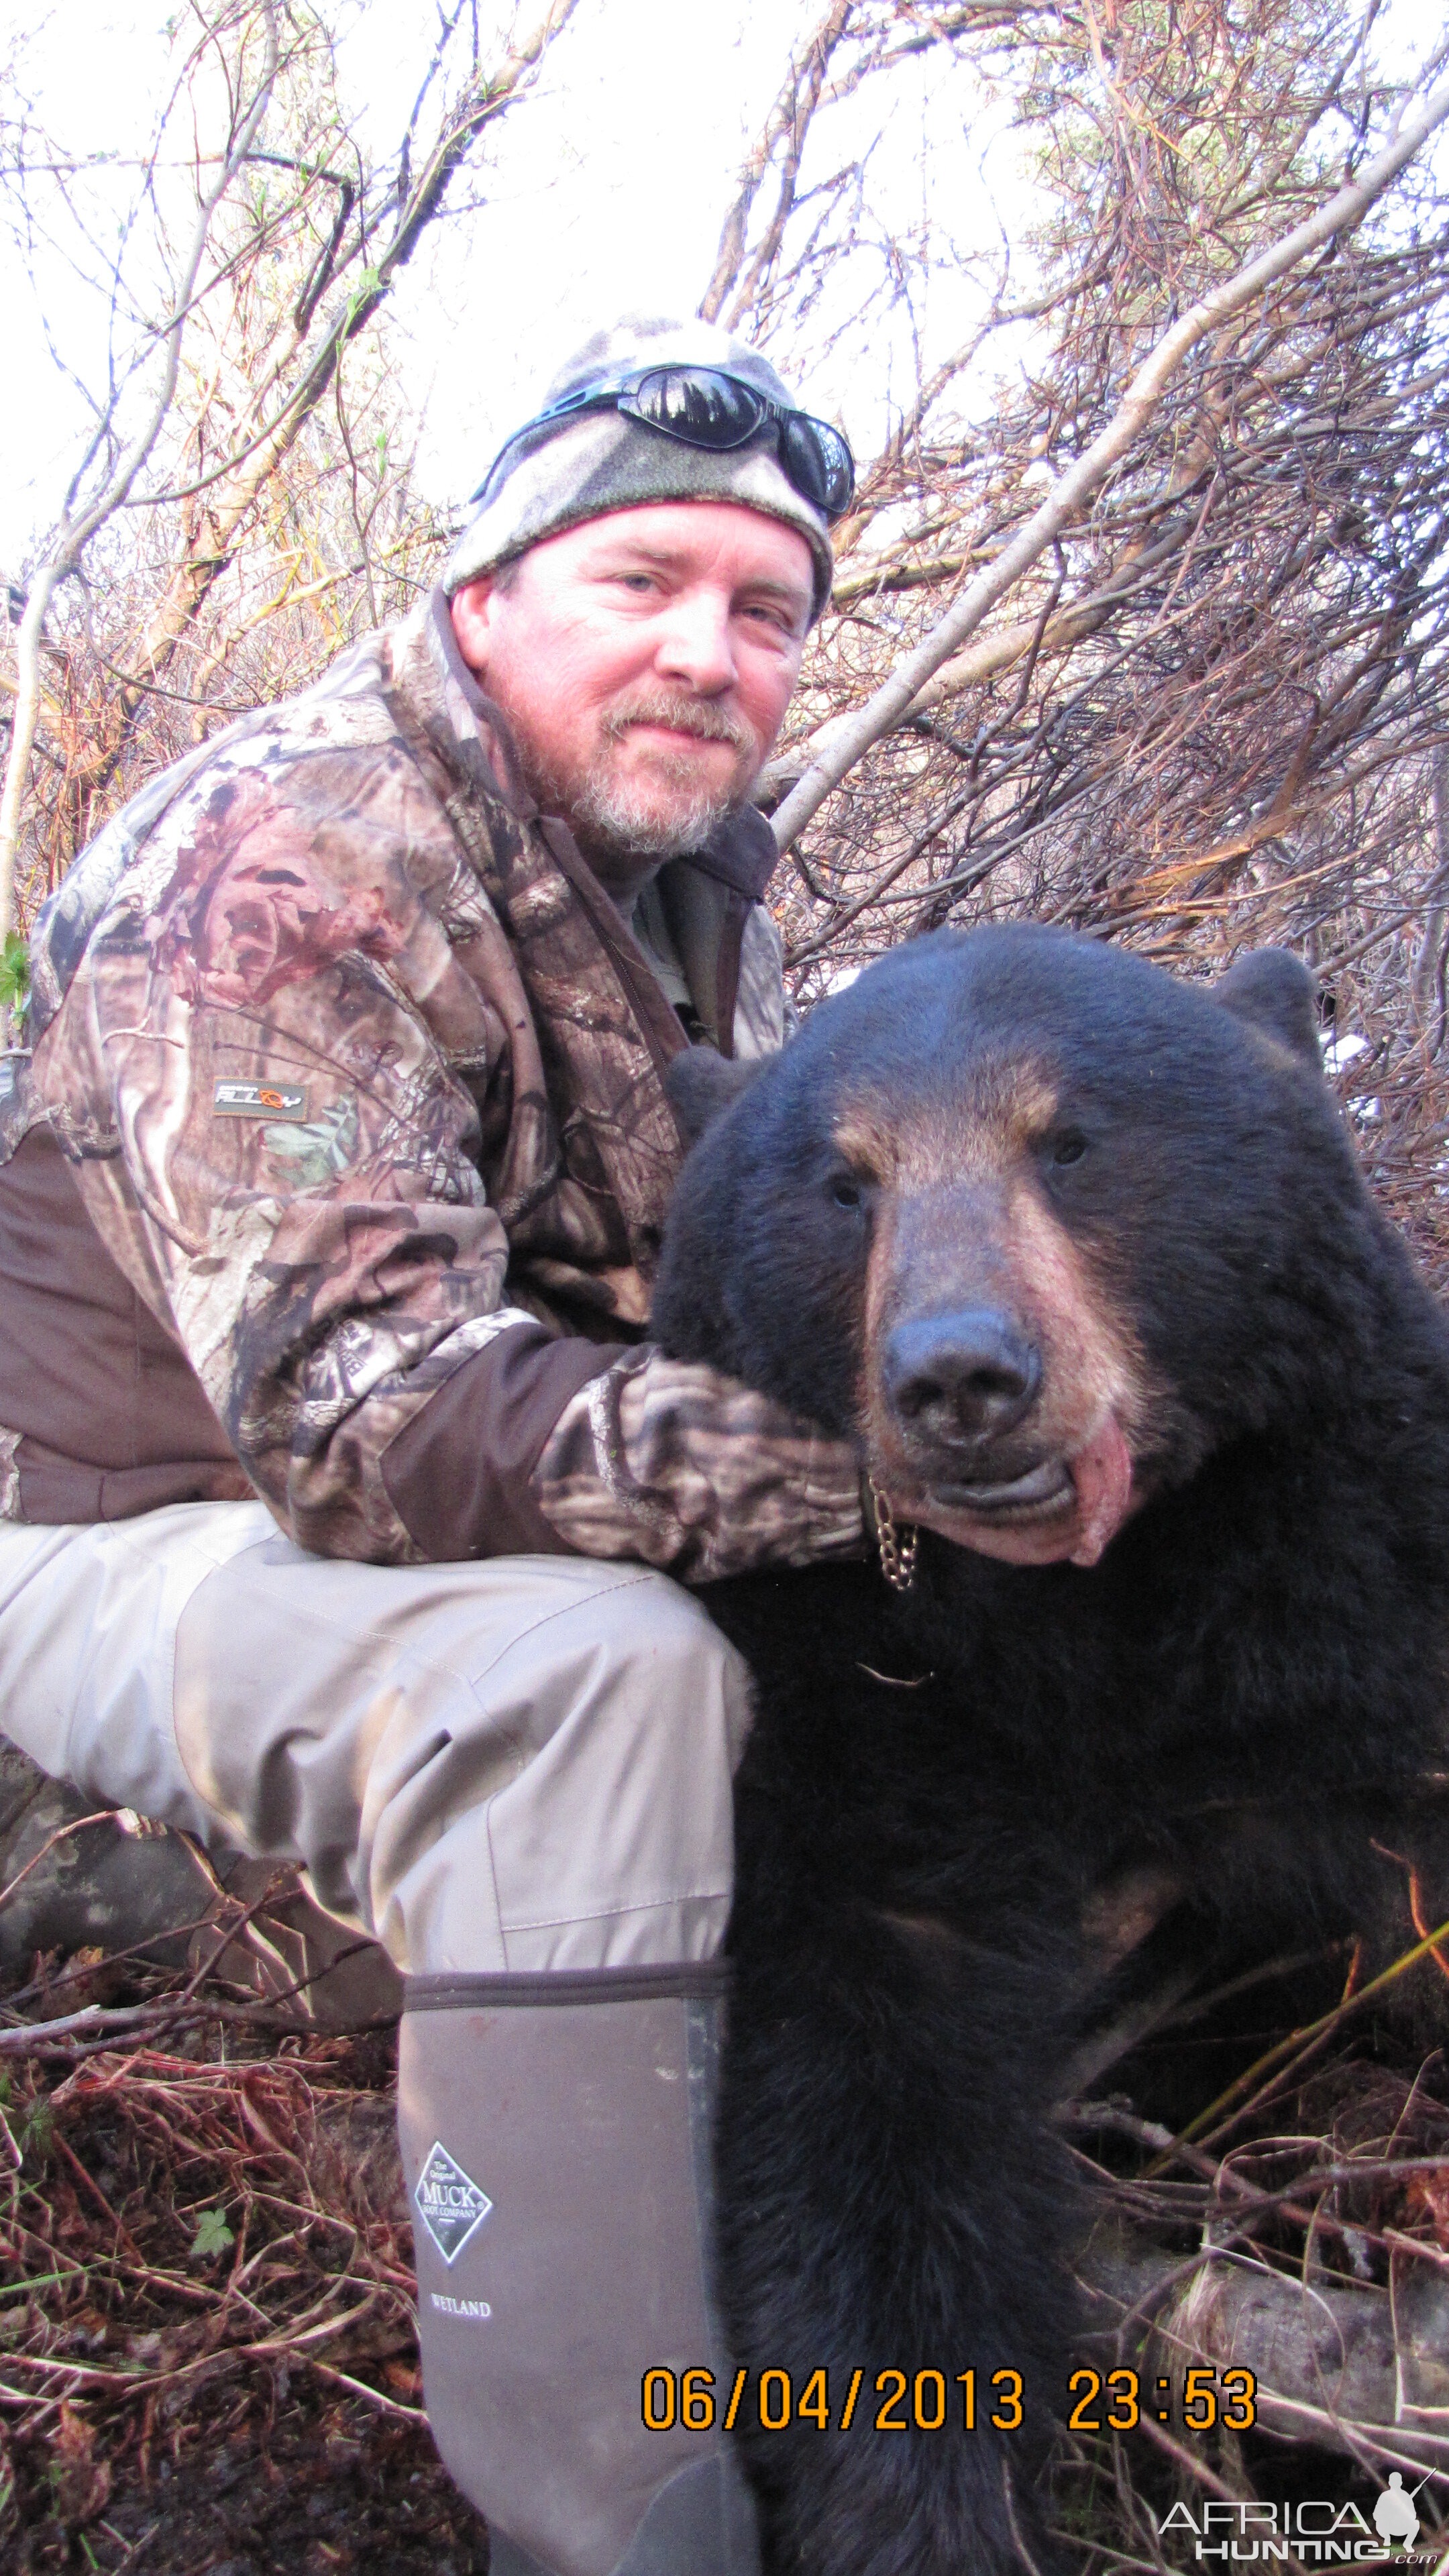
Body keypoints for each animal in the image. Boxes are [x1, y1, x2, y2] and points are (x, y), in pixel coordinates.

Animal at [649, 927, 1444, 2576]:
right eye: (847, 1183)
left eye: (1067, 1141)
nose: (961, 1375)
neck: (1082, 1617)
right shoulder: (848, 1691)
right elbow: (864, 2114)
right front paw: (926, 2517)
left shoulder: (1357, 1581)